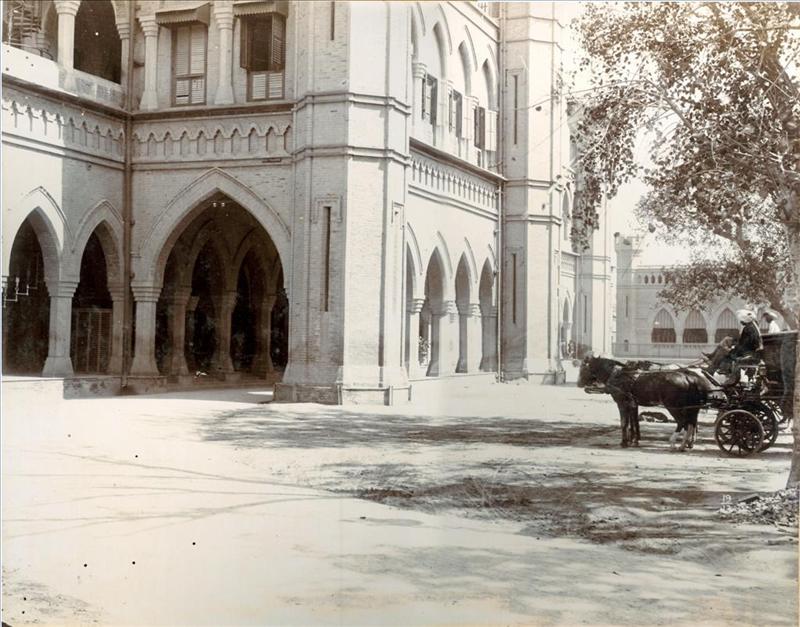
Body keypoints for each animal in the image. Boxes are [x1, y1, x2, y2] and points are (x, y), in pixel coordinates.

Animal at [580, 356, 716, 448]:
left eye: (583, 367)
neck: (618, 375)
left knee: (683, 422)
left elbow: (624, 423)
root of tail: (689, 377)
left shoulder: (622, 403)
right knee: (691, 422)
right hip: (688, 406)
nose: (580, 383)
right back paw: (687, 442)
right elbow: (634, 423)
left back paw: (675, 442)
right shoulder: (633, 404)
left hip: (673, 406)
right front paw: (634, 440)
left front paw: (625, 441)